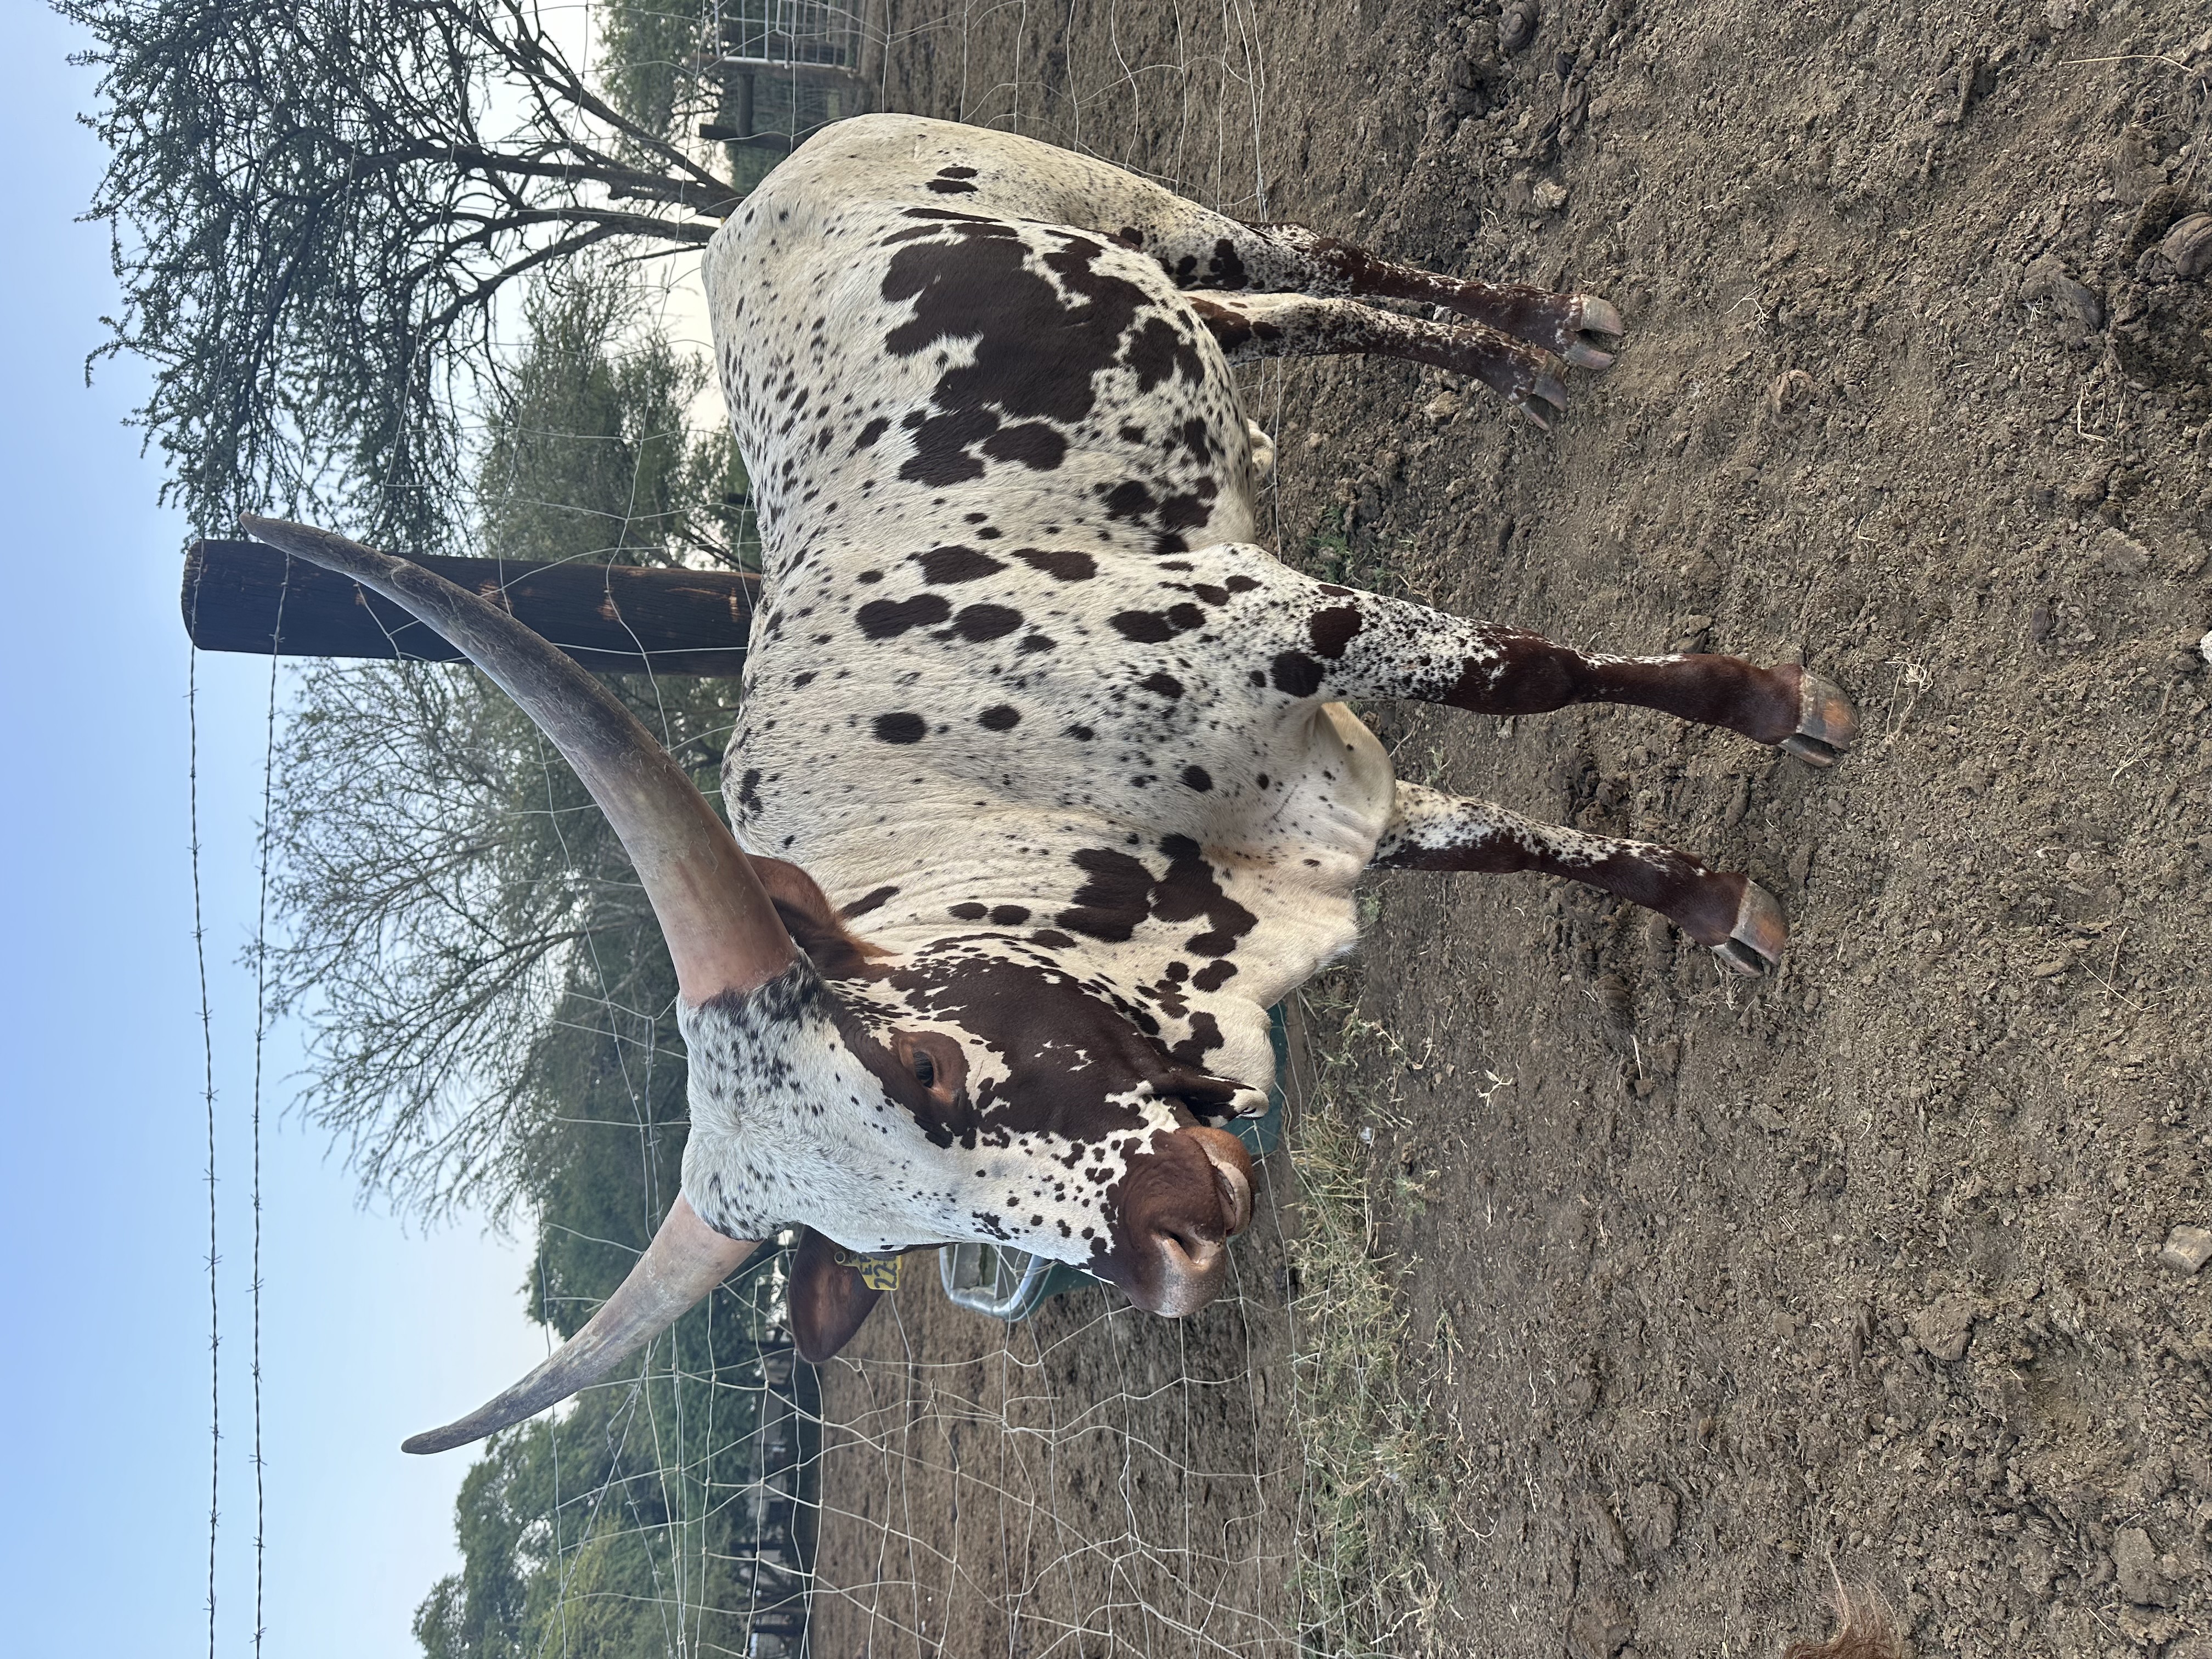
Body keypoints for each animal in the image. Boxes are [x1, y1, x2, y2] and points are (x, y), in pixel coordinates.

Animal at [240, 113, 1856, 1456]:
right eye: (885, 1247)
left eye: (922, 1065)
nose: (1172, 1250)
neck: (986, 793)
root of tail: (760, 183)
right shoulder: (1336, 816)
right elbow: (1521, 840)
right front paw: (1714, 904)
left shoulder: (1287, 625)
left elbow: (1527, 675)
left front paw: (1771, 705)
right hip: (1155, 294)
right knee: (1284, 317)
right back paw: (1508, 367)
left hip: (1133, 204)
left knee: (1312, 258)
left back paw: (1538, 328)